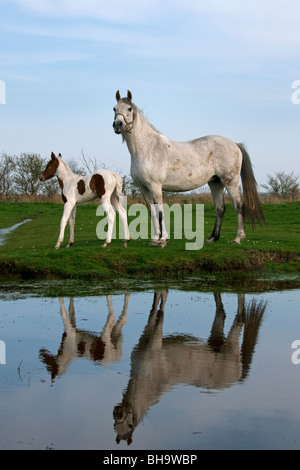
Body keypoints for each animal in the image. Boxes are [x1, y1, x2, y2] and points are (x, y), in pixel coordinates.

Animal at [113, 89, 264, 248]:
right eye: (114, 109)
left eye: (129, 109)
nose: (117, 124)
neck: (147, 148)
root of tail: (235, 144)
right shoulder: (143, 188)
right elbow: (152, 212)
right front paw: (154, 239)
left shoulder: (155, 187)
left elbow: (160, 212)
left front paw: (163, 240)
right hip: (215, 182)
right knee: (220, 208)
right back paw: (212, 238)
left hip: (230, 181)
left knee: (239, 205)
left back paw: (238, 238)